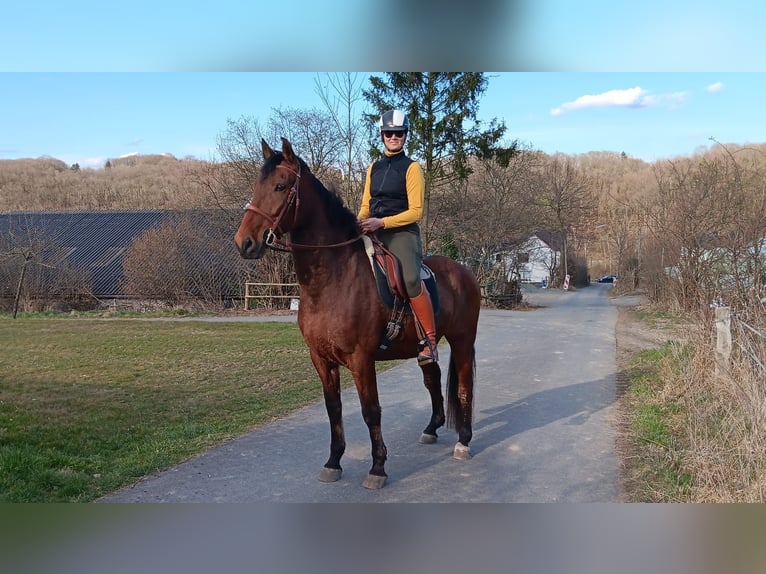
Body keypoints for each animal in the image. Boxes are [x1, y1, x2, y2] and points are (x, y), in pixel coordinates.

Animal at [234, 137, 481, 489]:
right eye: (257, 186)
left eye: (280, 186)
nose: (244, 242)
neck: (333, 279)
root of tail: (464, 272)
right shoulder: (321, 359)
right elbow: (333, 408)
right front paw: (333, 461)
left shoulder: (361, 359)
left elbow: (371, 411)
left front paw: (377, 467)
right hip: (427, 348)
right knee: (432, 379)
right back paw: (432, 429)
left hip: (462, 341)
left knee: (464, 387)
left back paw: (464, 441)